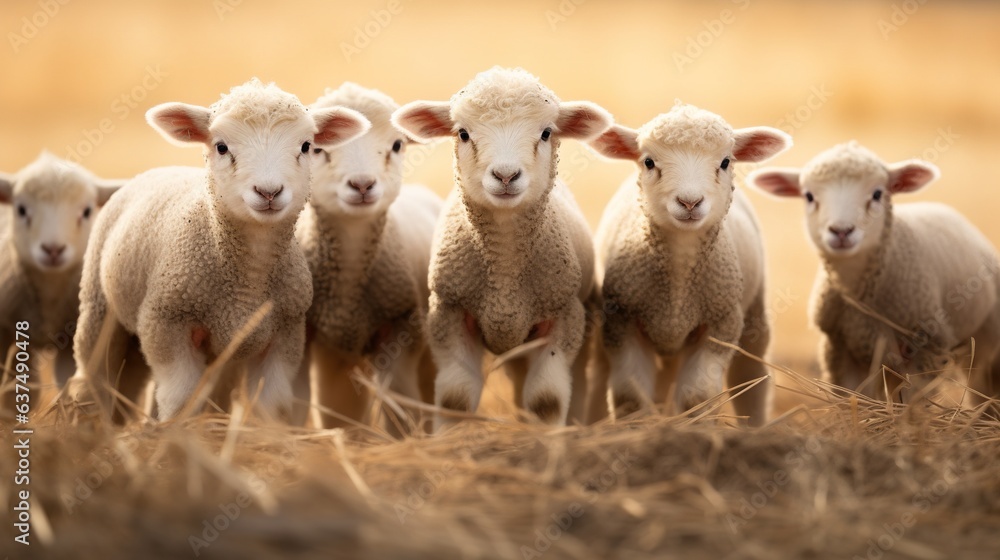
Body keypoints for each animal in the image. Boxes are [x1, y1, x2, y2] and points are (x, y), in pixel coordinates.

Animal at [67, 78, 370, 422]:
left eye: (306, 146)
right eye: (221, 147)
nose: (269, 192)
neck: (248, 280)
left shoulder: (285, 335)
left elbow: (271, 405)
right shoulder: (165, 323)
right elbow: (181, 397)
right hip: (99, 306)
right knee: (95, 375)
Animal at [295, 82, 442, 431]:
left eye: (397, 144)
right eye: (317, 149)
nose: (362, 184)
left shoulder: (401, 330)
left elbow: (401, 409)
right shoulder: (313, 337)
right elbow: (322, 408)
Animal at [392, 67, 613, 429]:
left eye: (546, 133)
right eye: (463, 133)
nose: (506, 176)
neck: (506, 271)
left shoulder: (563, 316)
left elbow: (546, 400)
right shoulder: (449, 313)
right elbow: (455, 398)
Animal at [588, 104, 791, 426]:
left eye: (725, 161)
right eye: (648, 162)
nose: (690, 202)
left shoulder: (721, 322)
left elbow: (697, 396)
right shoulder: (622, 320)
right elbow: (630, 396)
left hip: (753, 313)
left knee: (750, 377)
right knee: (600, 375)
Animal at [748, 141, 1000, 404]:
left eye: (878, 194)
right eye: (808, 196)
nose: (841, 231)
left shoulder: (925, 348)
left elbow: (914, 402)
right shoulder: (840, 349)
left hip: (985, 336)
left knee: (982, 382)